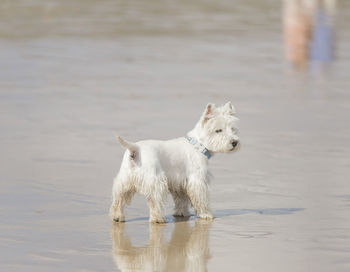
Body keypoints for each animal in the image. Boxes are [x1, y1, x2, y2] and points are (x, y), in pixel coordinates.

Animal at [110, 102, 241, 223]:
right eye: (218, 130)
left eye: (233, 129)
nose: (234, 142)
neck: (198, 145)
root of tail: (135, 148)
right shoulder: (197, 180)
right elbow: (200, 198)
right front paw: (206, 214)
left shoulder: (179, 183)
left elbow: (181, 200)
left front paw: (182, 213)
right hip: (156, 181)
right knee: (154, 202)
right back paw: (158, 219)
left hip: (125, 180)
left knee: (118, 198)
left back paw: (117, 217)